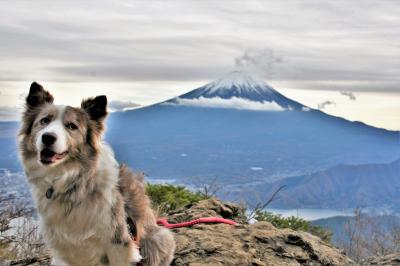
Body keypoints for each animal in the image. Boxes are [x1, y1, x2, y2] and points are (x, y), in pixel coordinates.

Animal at [18, 82, 175, 264]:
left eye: (71, 126)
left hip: (159, 238)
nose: (48, 137)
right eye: (44, 121)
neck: (72, 183)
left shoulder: (118, 242)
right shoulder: (61, 250)